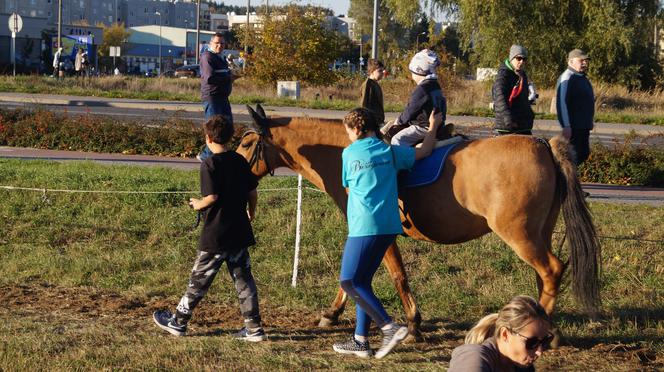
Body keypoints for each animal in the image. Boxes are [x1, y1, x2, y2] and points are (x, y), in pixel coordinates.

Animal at [236, 104, 600, 340]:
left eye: (246, 143)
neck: (350, 149)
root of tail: (543, 144)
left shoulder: (377, 233)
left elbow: (394, 276)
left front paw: (412, 324)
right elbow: (354, 274)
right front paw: (332, 313)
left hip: (520, 235)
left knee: (551, 270)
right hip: (540, 233)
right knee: (546, 276)